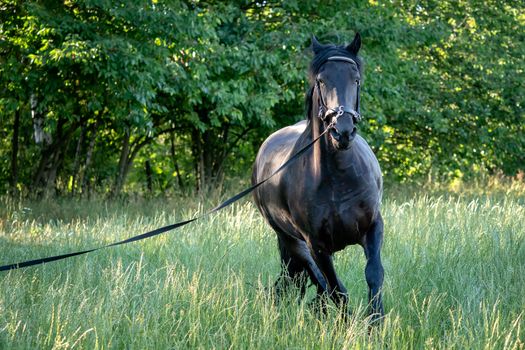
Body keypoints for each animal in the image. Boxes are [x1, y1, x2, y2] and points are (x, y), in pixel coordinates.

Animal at [252, 33, 382, 320]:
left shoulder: (373, 227)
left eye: (356, 79)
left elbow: (374, 274)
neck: (339, 179)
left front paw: (375, 321)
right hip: (291, 241)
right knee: (318, 279)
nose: (342, 132)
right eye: (321, 81)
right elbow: (336, 289)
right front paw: (349, 326)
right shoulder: (317, 246)